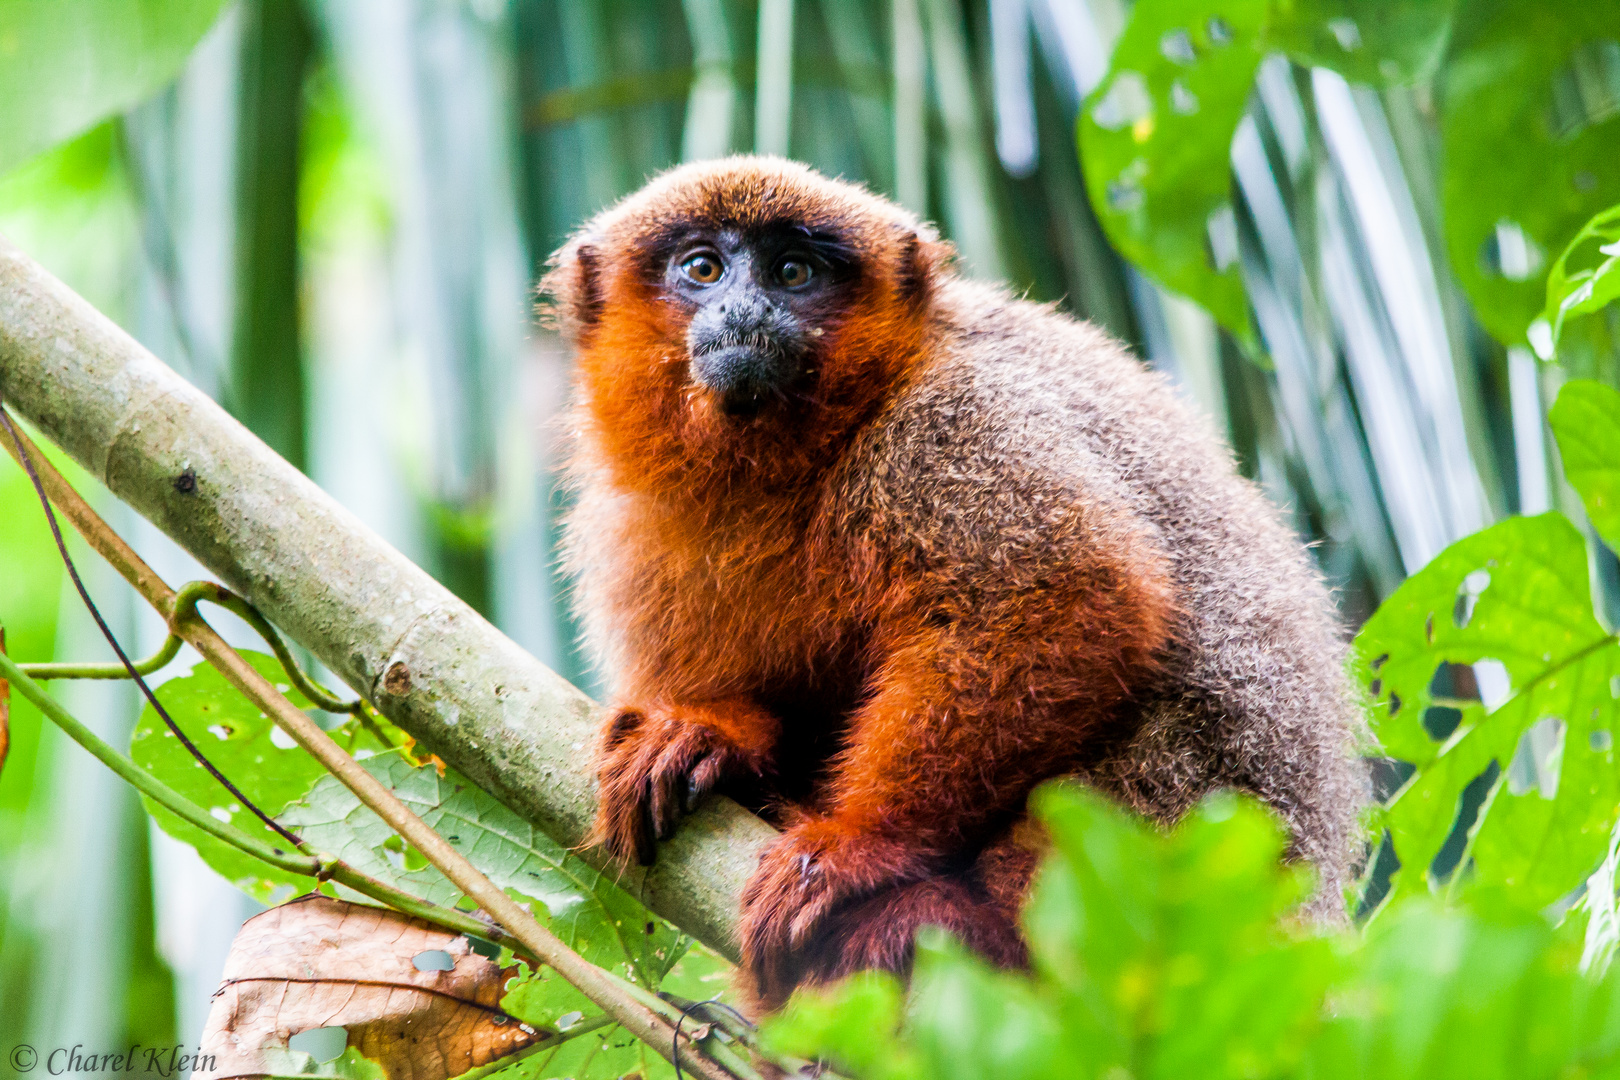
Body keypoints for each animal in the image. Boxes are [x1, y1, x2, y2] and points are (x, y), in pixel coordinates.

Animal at [547, 156, 1367, 1010]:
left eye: (793, 272)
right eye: (703, 268)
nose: (745, 309)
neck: (794, 470)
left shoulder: (948, 423)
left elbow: (1074, 593)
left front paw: (855, 847)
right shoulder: (633, 530)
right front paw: (712, 736)